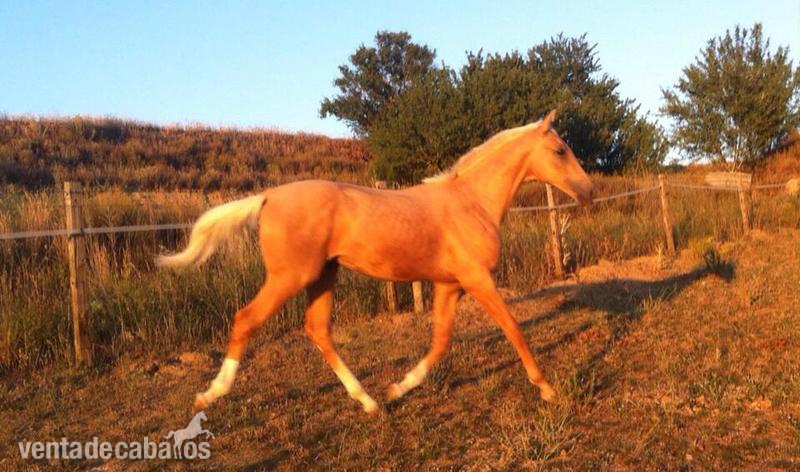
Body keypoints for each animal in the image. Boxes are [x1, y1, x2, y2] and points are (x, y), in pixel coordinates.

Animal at [157, 109, 594, 414]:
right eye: (560, 150)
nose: (589, 191)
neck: (471, 202)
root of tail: (267, 197)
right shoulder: (477, 280)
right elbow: (513, 328)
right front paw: (547, 389)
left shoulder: (449, 285)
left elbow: (441, 341)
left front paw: (398, 387)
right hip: (289, 277)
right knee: (246, 319)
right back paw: (209, 395)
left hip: (324, 275)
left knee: (317, 330)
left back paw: (369, 402)